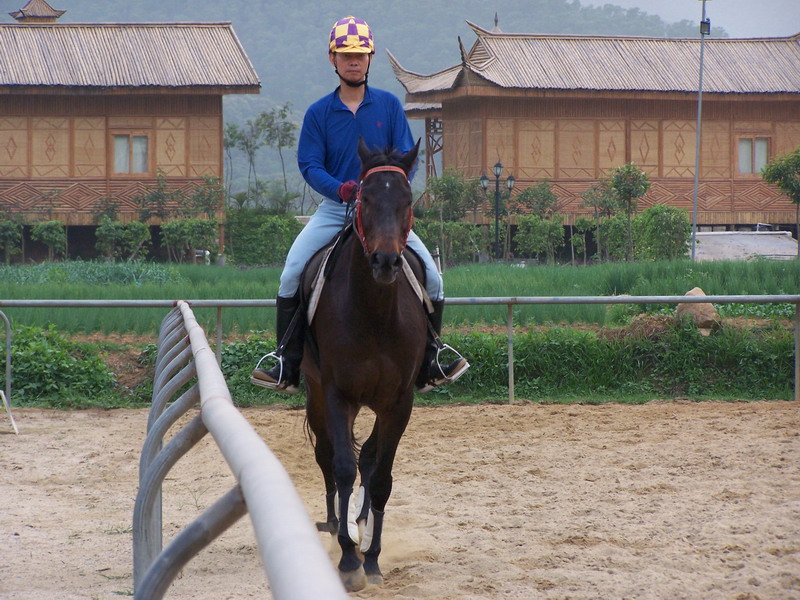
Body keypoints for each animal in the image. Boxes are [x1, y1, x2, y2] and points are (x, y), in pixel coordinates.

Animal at [302, 137, 428, 592]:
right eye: (366, 198)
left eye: (407, 199)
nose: (386, 262)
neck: (375, 313)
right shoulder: (337, 395)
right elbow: (341, 467)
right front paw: (347, 557)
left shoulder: (399, 402)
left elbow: (380, 477)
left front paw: (371, 557)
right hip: (317, 396)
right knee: (327, 456)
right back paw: (335, 524)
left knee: (369, 459)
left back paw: (360, 526)